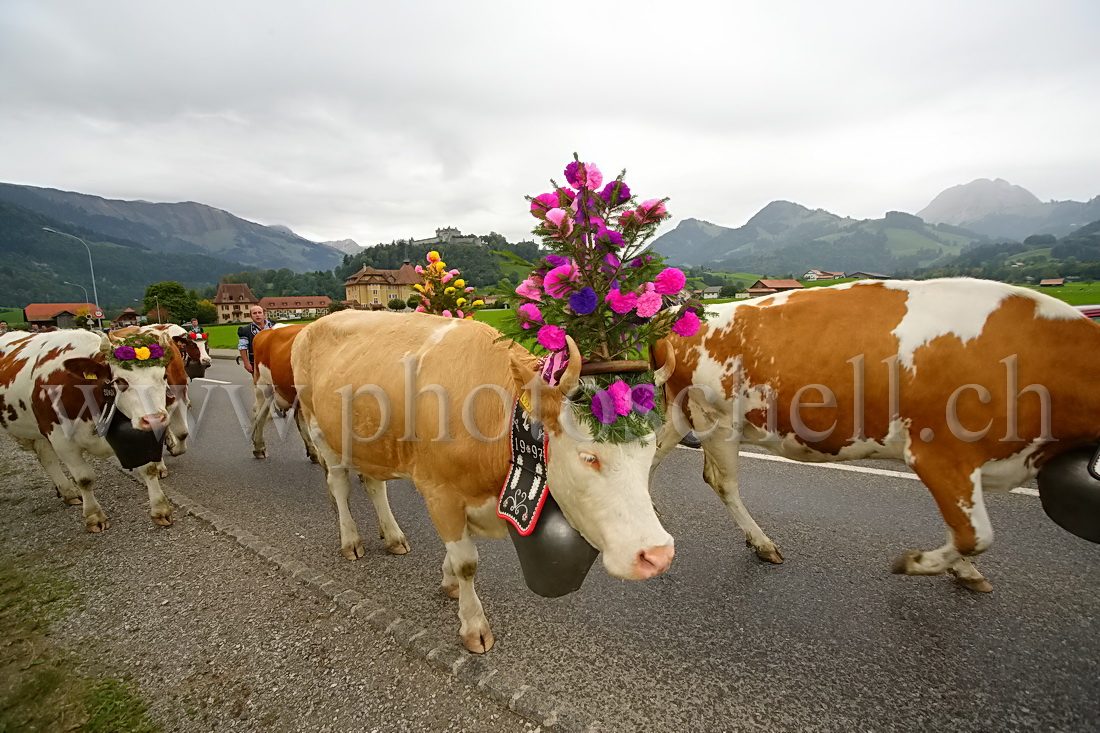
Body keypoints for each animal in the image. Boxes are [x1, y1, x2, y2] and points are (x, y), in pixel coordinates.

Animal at [0, 327, 173, 528]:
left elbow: (149, 468)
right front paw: (94, 516)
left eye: (164, 376)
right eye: (120, 381)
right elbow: (84, 479)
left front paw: (160, 509)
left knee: (46, 457)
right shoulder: (61, 440)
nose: (154, 419)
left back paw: (67, 492)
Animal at [292, 308, 668, 651]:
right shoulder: (439, 493)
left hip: (368, 443)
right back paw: (350, 541)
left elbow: (459, 553)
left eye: (651, 451)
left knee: (374, 484)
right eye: (589, 457)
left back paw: (393, 536)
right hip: (321, 432)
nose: (659, 555)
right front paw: (473, 626)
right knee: (339, 486)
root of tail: (312, 324)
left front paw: (448, 582)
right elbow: (467, 563)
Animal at [646, 277, 1100, 589]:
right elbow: (975, 534)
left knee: (653, 452)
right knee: (721, 482)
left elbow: (963, 528)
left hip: (682, 411)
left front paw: (961, 569)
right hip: (715, 417)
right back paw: (762, 543)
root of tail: (676, 317)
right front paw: (917, 563)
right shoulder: (940, 455)